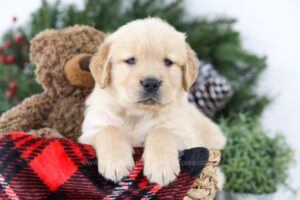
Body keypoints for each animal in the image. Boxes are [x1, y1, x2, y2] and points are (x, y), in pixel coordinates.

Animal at [78, 17, 226, 186]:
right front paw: (115, 163)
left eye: (168, 61)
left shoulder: (188, 137)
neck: (138, 113)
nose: (151, 83)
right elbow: (109, 129)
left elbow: (161, 131)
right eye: (130, 60)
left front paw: (161, 168)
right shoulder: (92, 129)